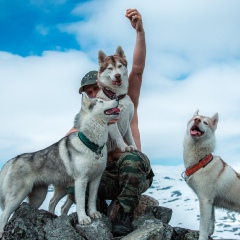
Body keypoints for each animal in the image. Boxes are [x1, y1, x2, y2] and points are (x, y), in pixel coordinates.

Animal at [0, 93, 120, 236]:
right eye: (101, 101)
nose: (117, 98)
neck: (92, 145)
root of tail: (14, 159)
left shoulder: (96, 179)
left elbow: (91, 199)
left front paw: (93, 213)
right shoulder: (81, 180)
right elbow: (81, 202)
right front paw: (83, 218)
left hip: (42, 196)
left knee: (51, 202)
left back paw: (52, 216)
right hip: (18, 197)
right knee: (4, 216)